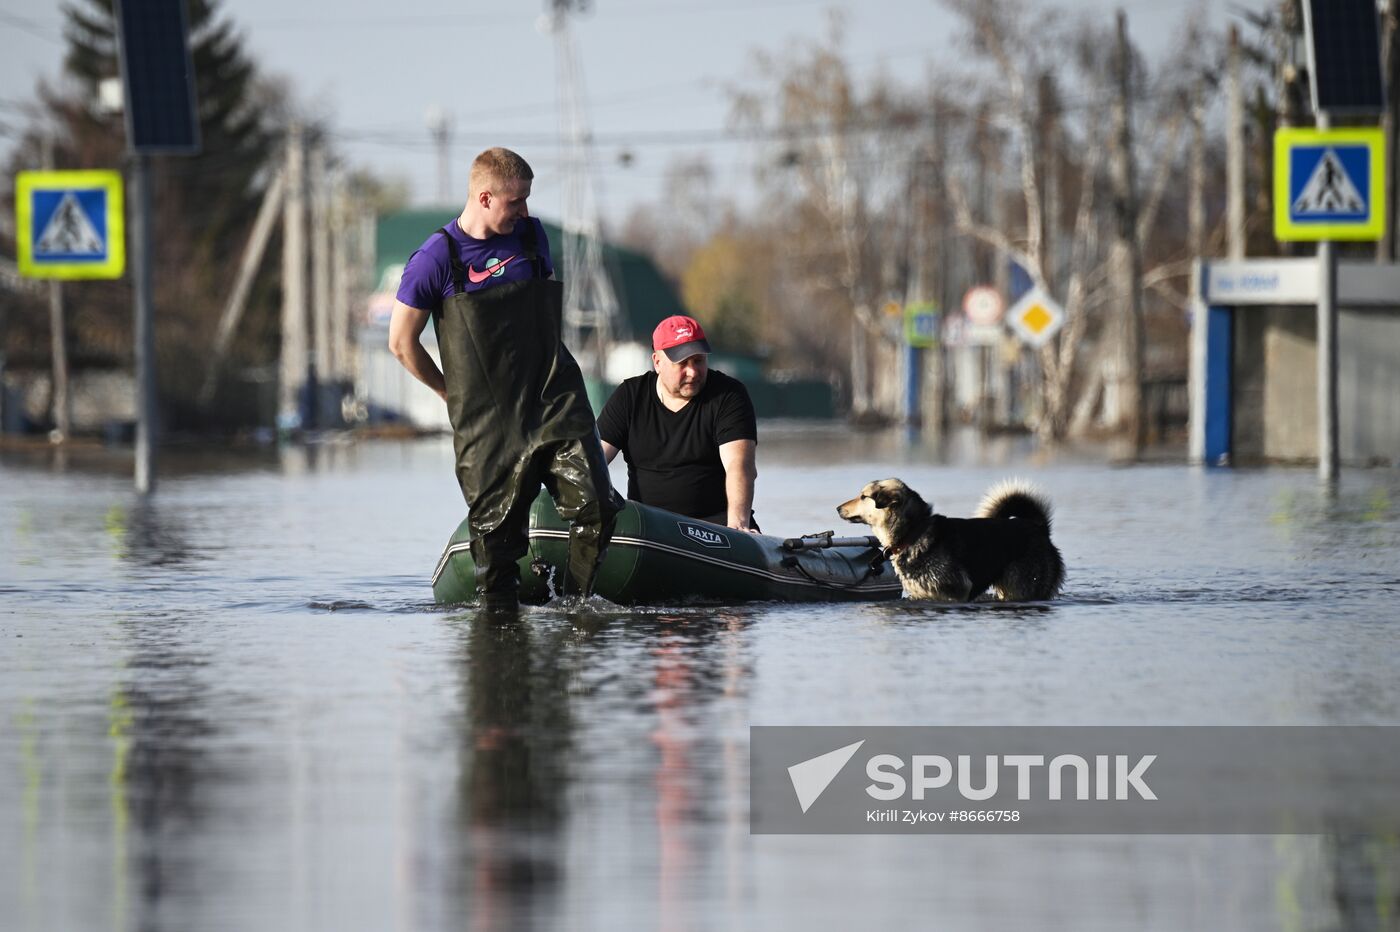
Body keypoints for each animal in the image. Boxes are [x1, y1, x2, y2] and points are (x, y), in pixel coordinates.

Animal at [834, 475, 1064, 598]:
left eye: (863, 496)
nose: (837, 508)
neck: (914, 532)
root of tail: (1038, 527)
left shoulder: (954, 592)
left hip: (1023, 586)